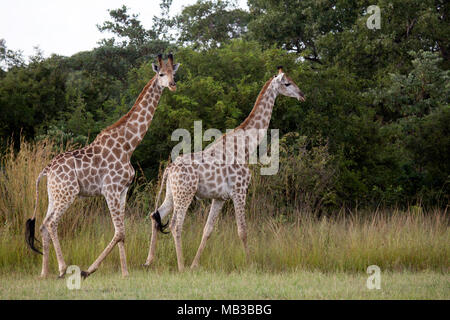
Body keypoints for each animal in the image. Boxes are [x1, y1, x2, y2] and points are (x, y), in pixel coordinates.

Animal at [25, 53, 180, 278]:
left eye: (173, 73)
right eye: (161, 74)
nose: (173, 85)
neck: (128, 145)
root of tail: (46, 170)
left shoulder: (122, 191)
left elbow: (122, 233)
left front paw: (125, 272)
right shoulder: (110, 189)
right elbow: (119, 232)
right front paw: (88, 270)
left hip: (55, 194)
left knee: (44, 225)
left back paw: (45, 273)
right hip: (68, 193)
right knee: (51, 223)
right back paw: (62, 268)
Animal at [144, 67, 306, 270]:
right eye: (287, 83)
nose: (302, 95)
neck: (245, 146)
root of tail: (169, 169)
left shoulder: (219, 198)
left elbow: (207, 230)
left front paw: (195, 264)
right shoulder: (239, 191)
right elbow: (242, 230)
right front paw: (250, 264)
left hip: (172, 193)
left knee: (155, 215)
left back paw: (149, 261)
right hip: (185, 193)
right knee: (175, 224)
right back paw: (181, 266)